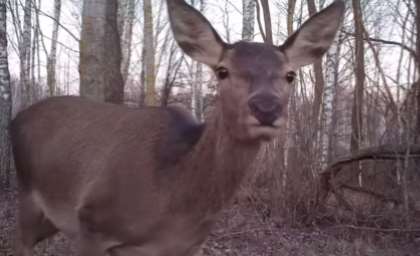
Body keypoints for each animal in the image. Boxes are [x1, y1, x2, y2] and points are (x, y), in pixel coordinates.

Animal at [11, 1, 344, 255]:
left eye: (290, 75)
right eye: (222, 71)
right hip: (27, 195)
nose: (265, 107)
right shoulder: (91, 224)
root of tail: (16, 117)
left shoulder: (187, 246)